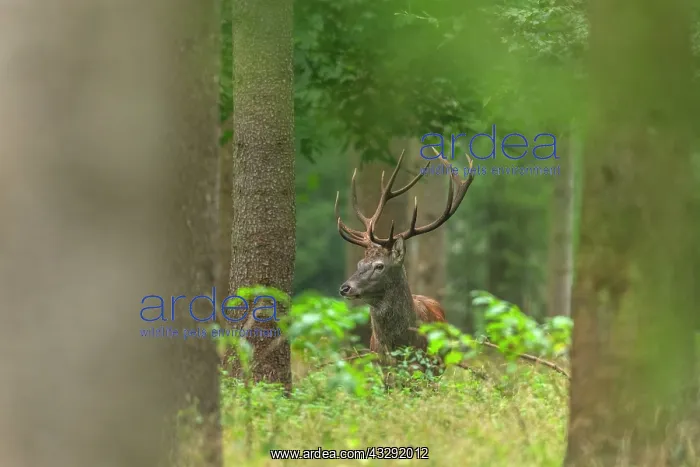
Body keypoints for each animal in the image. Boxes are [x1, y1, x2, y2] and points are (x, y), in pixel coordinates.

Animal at [334, 147, 475, 371]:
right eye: (359, 264)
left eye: (380, 266)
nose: (345, 288)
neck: (400, 346)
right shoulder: (380, 367)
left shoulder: (426, 367)